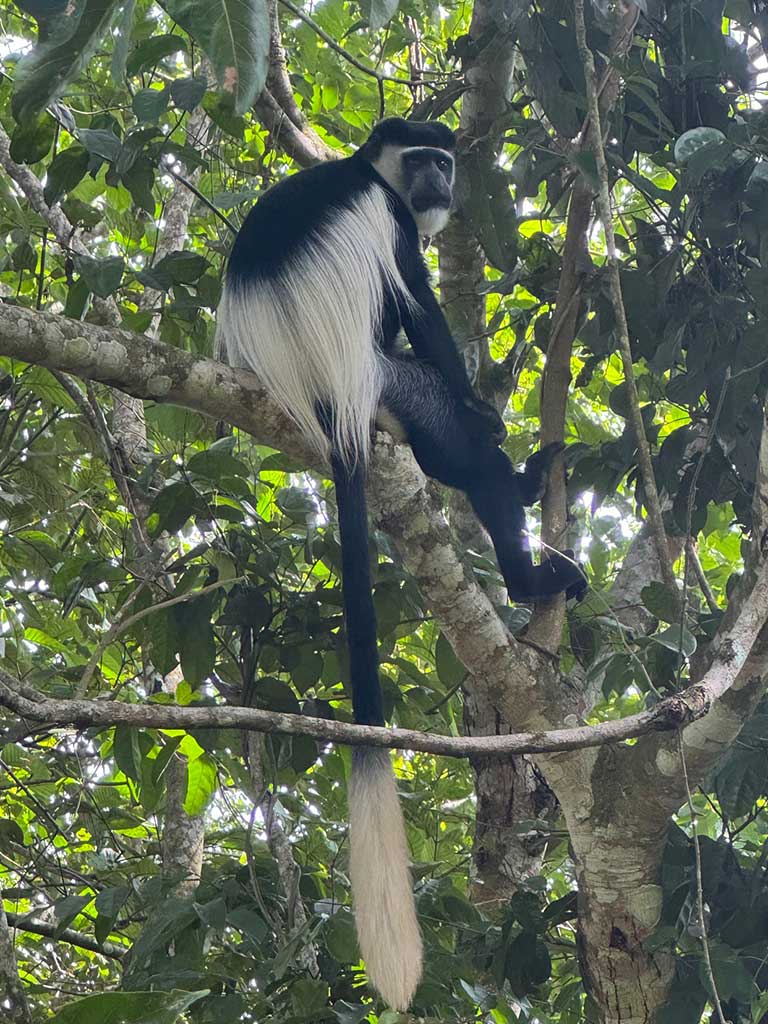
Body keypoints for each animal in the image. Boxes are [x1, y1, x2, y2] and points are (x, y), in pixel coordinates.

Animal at [216, 116, 586, 1011]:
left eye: (445, 161)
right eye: (421, 161)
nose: (441, 183)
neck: (368, 172)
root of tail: (317, 395)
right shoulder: (394, 223)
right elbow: (423, 311)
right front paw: (487, 407)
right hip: (385, 382)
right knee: (459, 437)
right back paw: (529, 566)